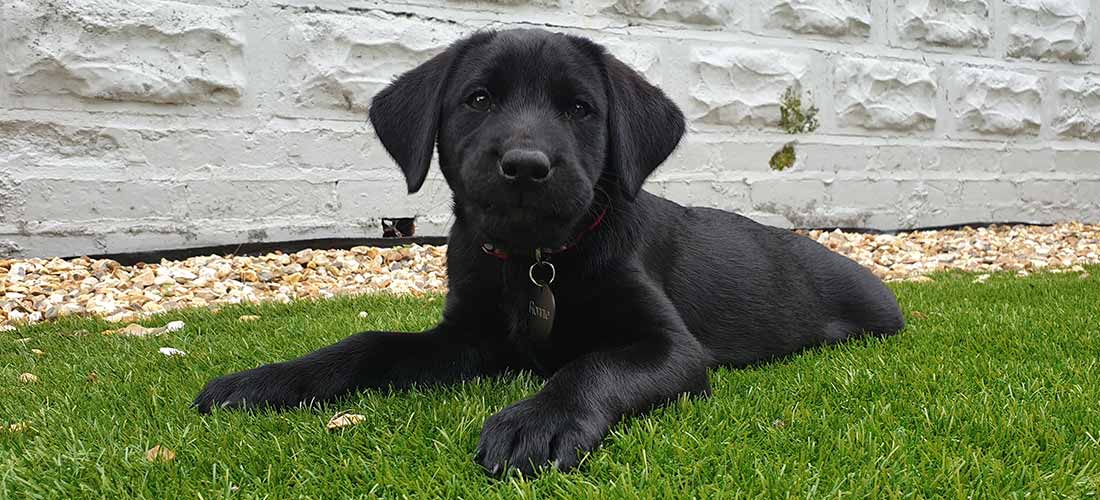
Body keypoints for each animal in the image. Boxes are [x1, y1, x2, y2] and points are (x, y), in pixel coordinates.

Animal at [195, 28, 902, 476]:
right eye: (478, 99)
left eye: (580, 108)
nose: (526, 166)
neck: (535, 259)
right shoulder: (466, 338)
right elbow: (367, 343)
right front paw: (268, 380)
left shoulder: (672, 349)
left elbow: (594, 366)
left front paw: (539, 421)